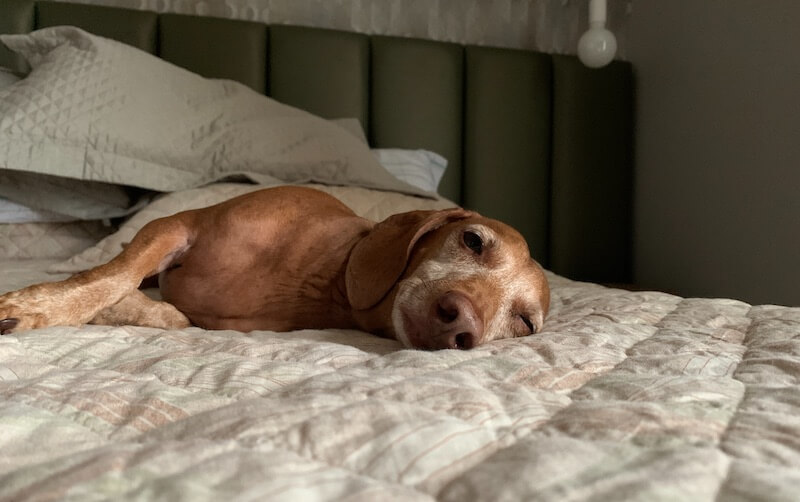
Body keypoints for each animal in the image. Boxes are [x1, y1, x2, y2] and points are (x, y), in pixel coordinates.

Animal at [0, 185, 552, 350]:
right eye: (473, 240)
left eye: (525, 323)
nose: (462, 324)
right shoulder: (174, 226)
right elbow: (113, 276)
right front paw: (40, 306)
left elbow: (156, 308)